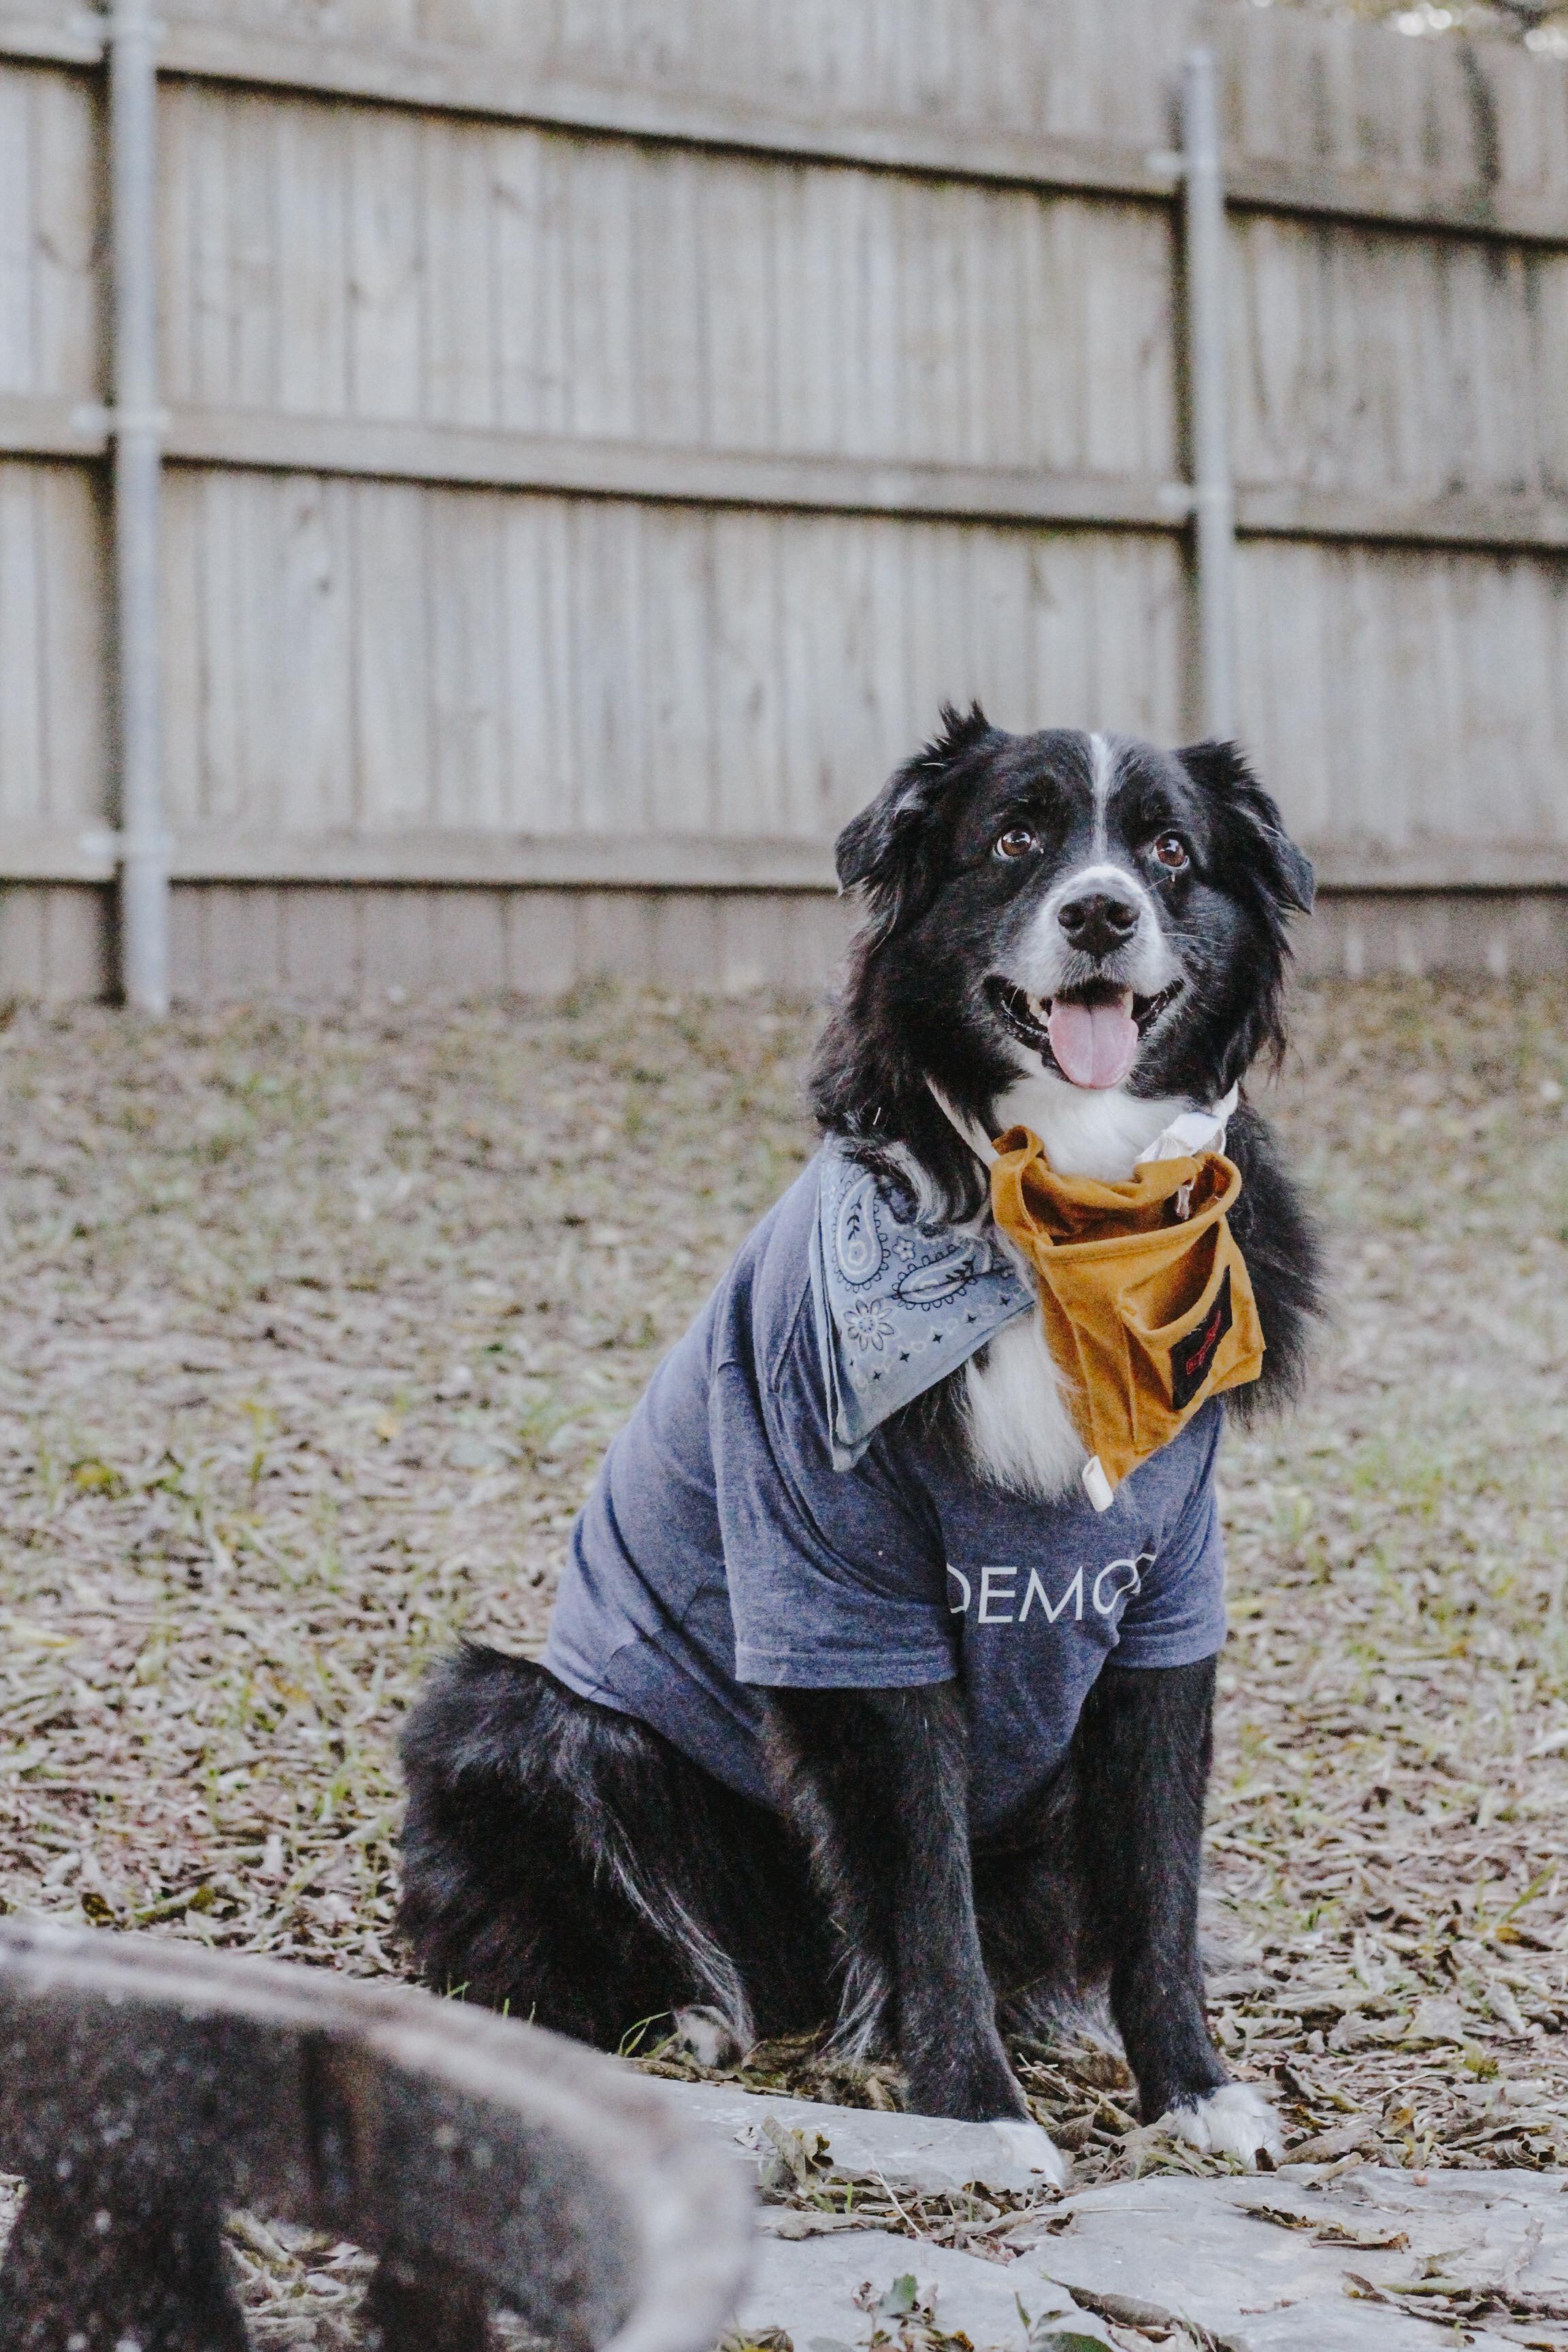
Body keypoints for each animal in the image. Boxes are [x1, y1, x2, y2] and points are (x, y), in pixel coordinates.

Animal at [402, 705, 1326, 2173]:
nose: (1102, 911)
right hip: (510, 1713)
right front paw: (977, 2107)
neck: (1059, 1216)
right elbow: (923, 1888)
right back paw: (697, 2014)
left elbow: (1157, 1879)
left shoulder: (1164, 1600)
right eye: (1015, 836)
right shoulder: (855, 1607)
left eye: (1172, 851)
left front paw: (1191, 2088)